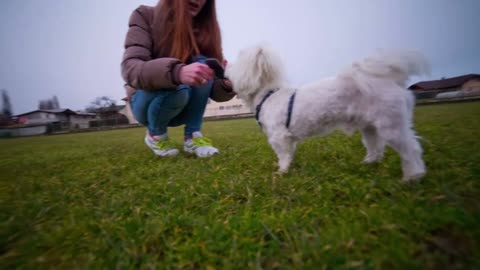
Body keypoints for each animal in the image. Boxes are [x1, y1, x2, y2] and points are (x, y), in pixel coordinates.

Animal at [226, 44, 432, 181]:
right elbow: (289, 154)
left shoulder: (280, 136)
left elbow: (283, 155)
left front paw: (282, 172)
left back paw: (413, 175)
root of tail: (387, 78)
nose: (224, 67)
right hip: (370, 126)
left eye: (232, 67)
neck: (268, 95)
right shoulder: (287, 138)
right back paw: (369, 163)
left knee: (410, 148)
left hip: (391, 125)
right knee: (375, 145)